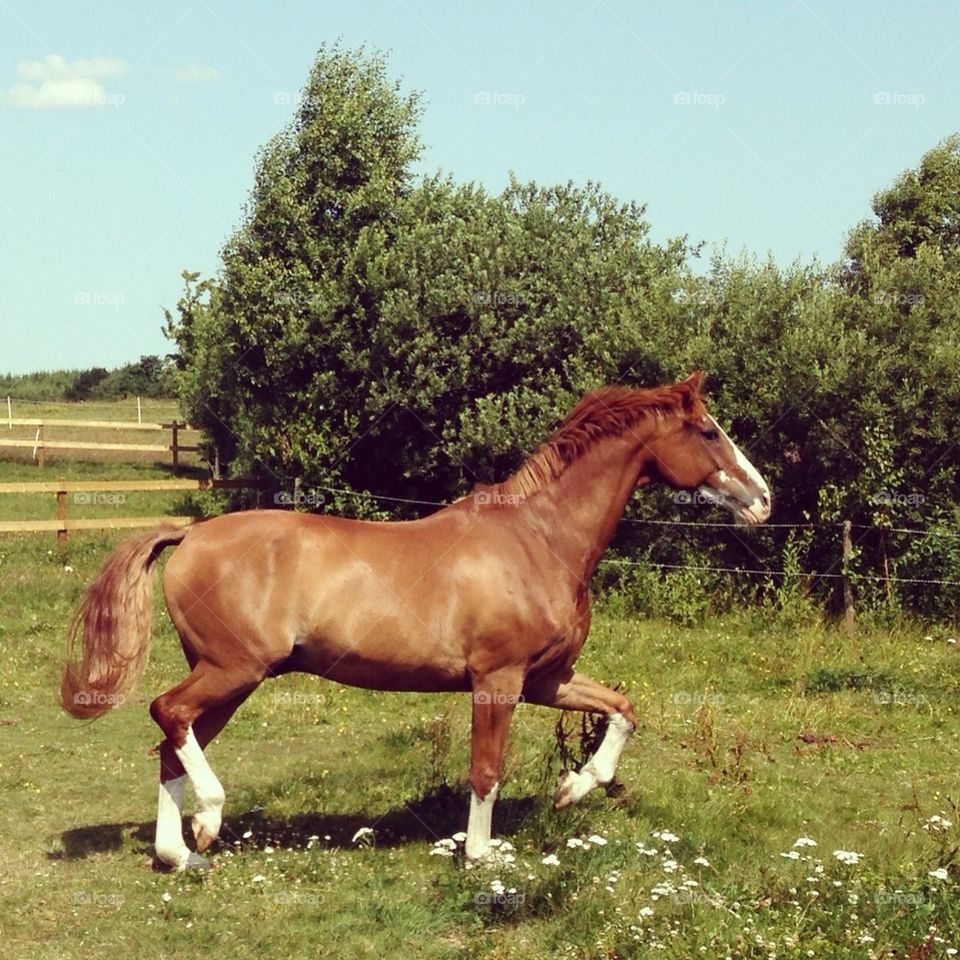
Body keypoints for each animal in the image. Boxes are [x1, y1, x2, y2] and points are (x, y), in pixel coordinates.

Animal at [61, 371, 770, 870]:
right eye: (709, 432)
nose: (764, 499)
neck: (539, 539)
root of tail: (189, 537)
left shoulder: (547, 680)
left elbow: (622, 709)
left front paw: (574, 787)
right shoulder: (498, 681)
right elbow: (486, 771)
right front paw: (482, 856)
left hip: (229, 677)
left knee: (172, 743)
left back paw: (179, 853)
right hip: (233, 669)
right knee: (169, 714)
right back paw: (207, 821)